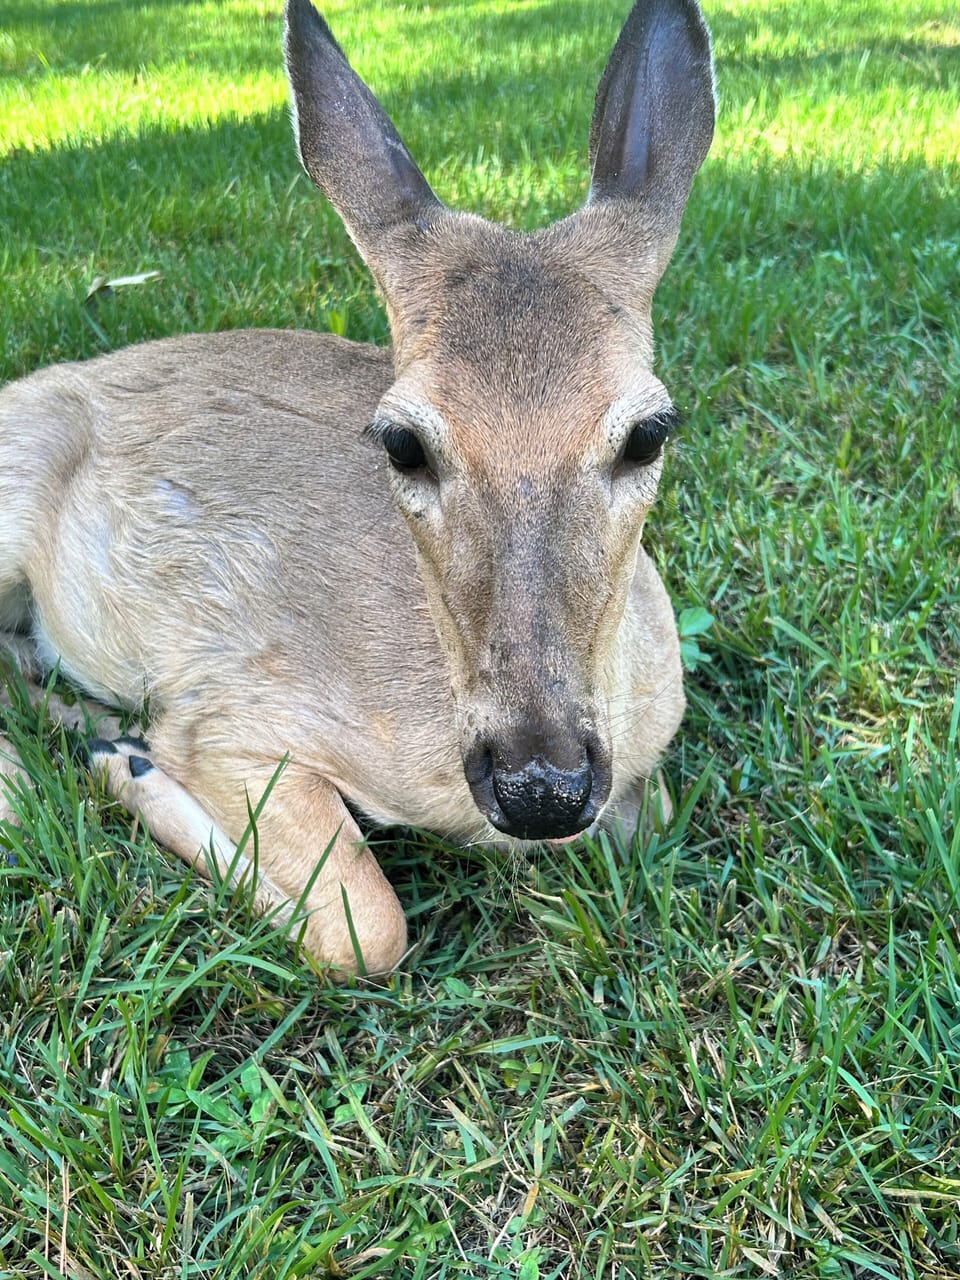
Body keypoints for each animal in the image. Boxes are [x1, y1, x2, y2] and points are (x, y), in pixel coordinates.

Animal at [0, 0, 715, 976]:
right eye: (403, 443)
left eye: (648, 431)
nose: (540, 787)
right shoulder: (232, 707)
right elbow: (367, 927)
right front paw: (134, 765)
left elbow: (658, 818)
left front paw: (117, 751)